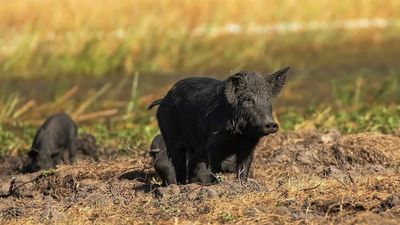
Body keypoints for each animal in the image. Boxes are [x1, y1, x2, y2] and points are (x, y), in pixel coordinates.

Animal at [148, 67, 290, 185]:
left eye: (268, 99)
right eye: (247, 100)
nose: (271, 123)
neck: (239, 135)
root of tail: (164, 98)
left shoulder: (249, 145)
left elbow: (244, 165)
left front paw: (242, 185)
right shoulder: (213, 144)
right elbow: (216, 168)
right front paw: (218, 184)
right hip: (171, 137)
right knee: (178, 163)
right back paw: (181, 185)